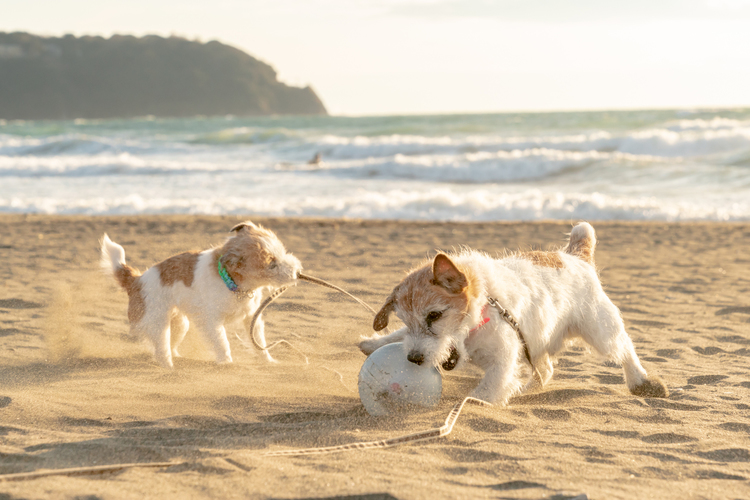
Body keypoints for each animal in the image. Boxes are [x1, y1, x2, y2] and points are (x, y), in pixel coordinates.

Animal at [100, 221, 302, 370]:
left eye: (283, 252)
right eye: (272, 265)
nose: (298, 272)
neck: (230, 281)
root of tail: (136, 281)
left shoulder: (251, 317)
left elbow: (259, 342)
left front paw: (268, 361)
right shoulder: (211, 322)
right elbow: (222, 343)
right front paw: (227, 363)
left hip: (180, 324)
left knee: (169, 345)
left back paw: (178, 358)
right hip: (158, 324)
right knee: (161, 350)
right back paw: (170, 367)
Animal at [362, 225, 672, 404]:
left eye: (435, 315)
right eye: (407, 320)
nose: (414, 358)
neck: (483, 309)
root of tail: (573, 256)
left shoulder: (502, 358)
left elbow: (486, 390)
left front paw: (475, 403)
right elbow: (396, 335)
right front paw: (373, 342)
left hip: (601, 330)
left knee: (625, 349)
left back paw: (642, 382)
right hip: (537, 342)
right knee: (545, 371)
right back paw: (526, 387)